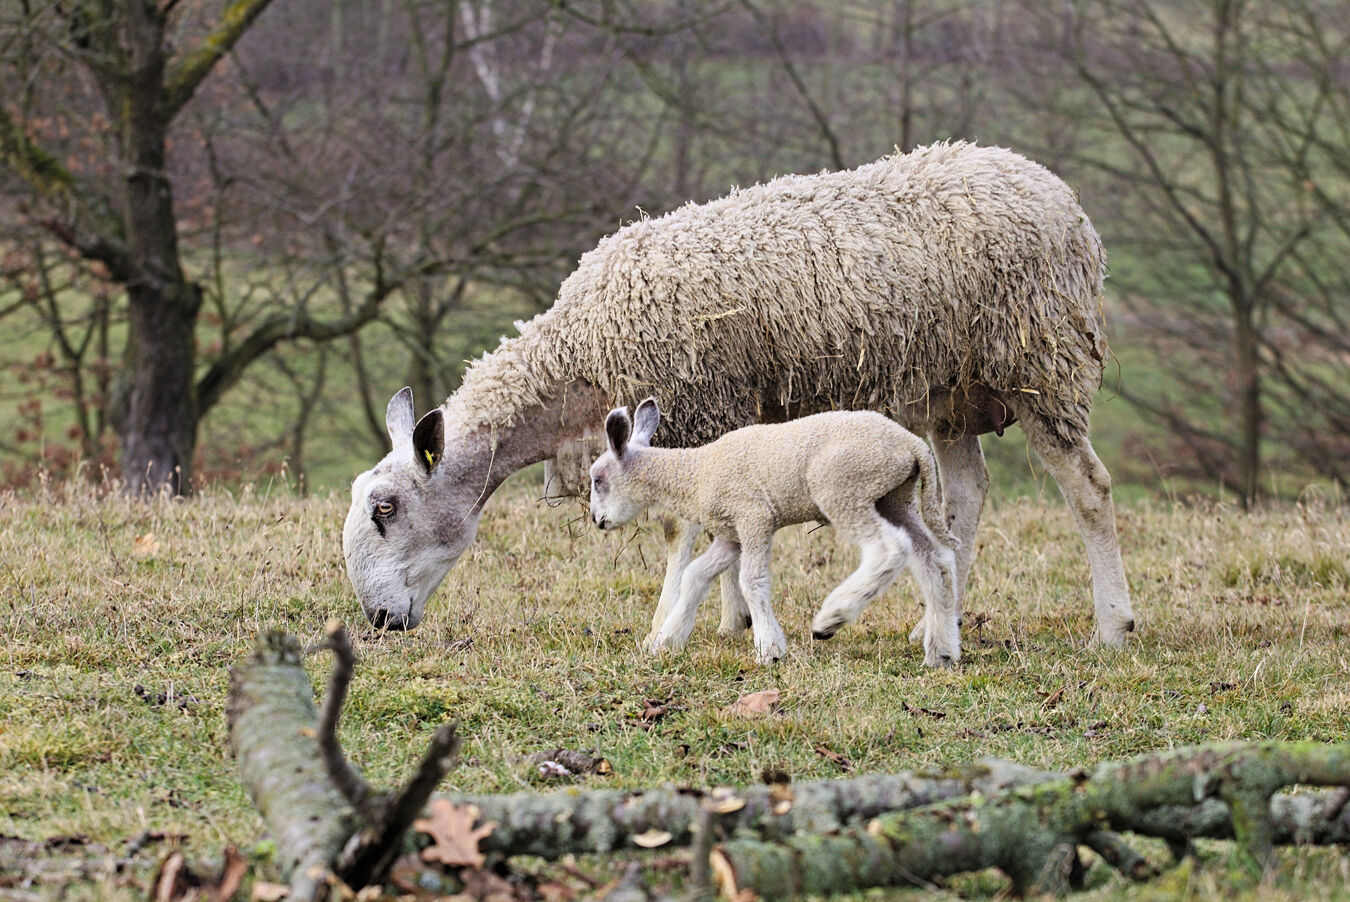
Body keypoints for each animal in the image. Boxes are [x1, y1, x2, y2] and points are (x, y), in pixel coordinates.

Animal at [589, 398, 961, 666]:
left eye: (598, 479)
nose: (596, 520)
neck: (695, 473)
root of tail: (913, 446)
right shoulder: (731, 533)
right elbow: (696, 575)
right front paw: (667, 641)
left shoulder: (753, 516)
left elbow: (751, 581)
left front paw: (769, 649)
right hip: (895, 496)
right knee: (935, 559)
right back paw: (942, 650)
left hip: (844, 486)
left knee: (890, 549)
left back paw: (832, 617)